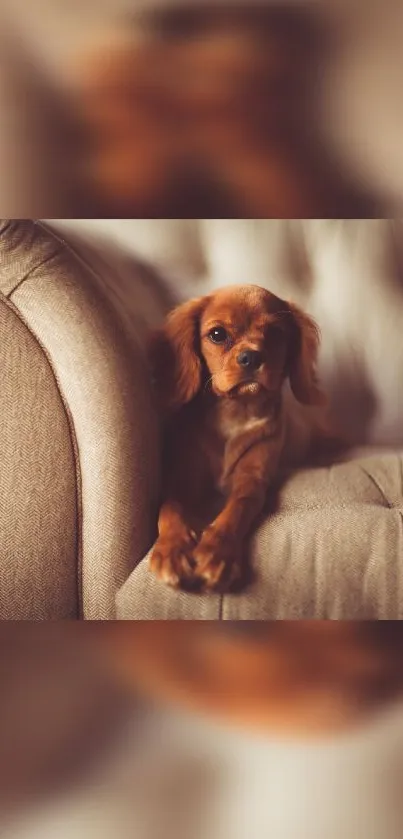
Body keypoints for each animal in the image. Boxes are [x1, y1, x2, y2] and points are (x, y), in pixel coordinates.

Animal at [148, 282, 340, 592]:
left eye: (275, 333)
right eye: (217, 334)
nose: (251, 357)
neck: (237, 411)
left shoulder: (252, 480)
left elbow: (236, 510)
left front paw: (215, 552)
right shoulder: (182, 479)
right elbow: (169, 508)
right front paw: (171, 549)